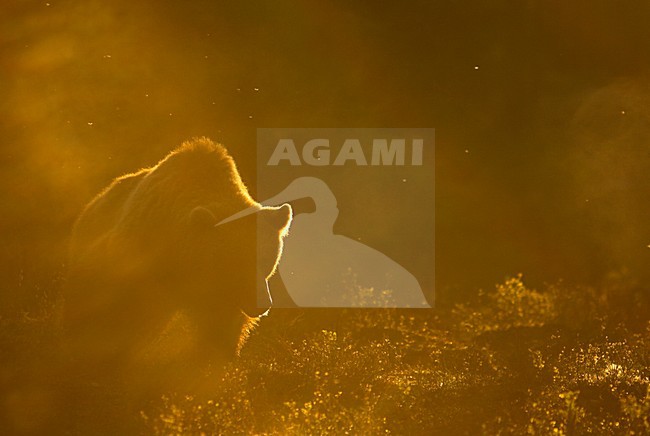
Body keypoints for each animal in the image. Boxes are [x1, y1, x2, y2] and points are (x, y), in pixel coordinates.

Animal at [61, 138, 292, 395]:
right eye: (237, 261)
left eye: (267, 260)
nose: (261, 304)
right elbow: (128, 315)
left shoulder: (217, 295)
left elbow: (221, 329)